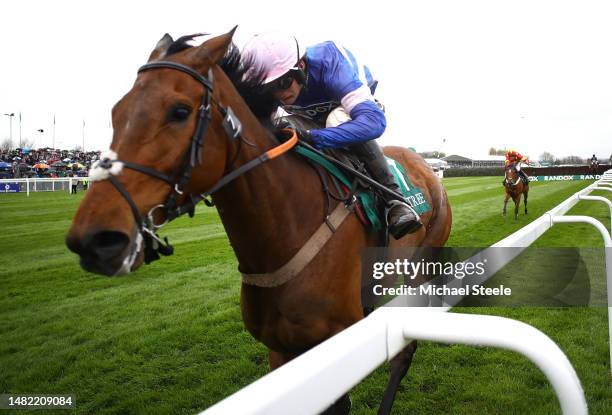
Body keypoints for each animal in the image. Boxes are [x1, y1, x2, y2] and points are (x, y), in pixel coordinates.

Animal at [65, 30, 454, 415]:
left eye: (180, 111)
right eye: (116, 112)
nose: (94, 240)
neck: (284, 232)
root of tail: (426, 166)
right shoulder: (281, 350)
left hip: (422, 262)